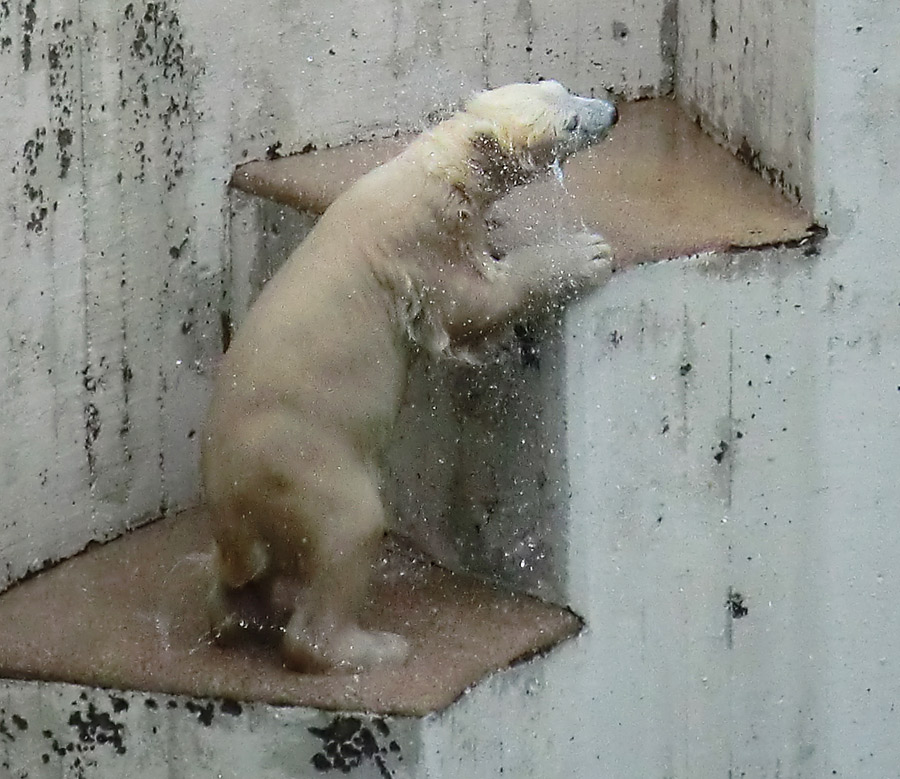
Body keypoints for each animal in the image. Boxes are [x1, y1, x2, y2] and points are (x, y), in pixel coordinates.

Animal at [206, 80, 620, 676]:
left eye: (559, 86)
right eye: (567, 123)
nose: (612, 111)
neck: (433, 168)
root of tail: (224, 493)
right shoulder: (419, 249)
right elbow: (475, 302)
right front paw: (586, 254)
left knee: (244, 575)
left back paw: (242, 617)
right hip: (297, 457)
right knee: (348, 527)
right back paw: (366, 647)